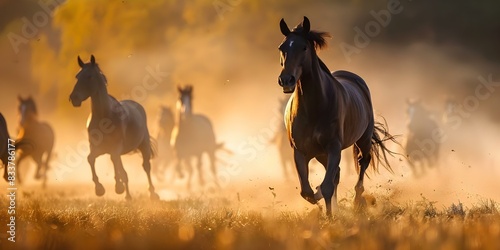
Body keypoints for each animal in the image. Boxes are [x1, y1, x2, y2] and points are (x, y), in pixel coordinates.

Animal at [69, 54, 158, 199]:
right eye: (77, 76)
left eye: (89, 76)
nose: (74, 98)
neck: (104, 117)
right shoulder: (97, 148)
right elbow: (91, 159)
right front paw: (99, 189)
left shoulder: (115, 148)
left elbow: (117, 165)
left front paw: (118, 187)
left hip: (143, 145)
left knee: (146, 166)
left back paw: (152, 193)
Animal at [276, 16, 396, 216]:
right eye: (282, 47)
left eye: (304, 47)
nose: (286, 80)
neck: (314, 108)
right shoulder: (300, 151)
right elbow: (307, 191)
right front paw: (328, 210)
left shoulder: (333, 147)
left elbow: (326, 186)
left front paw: (330, 214)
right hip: (321, 154)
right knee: (337, 174)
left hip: (362, 140)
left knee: (362, 163)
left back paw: (357, 202)